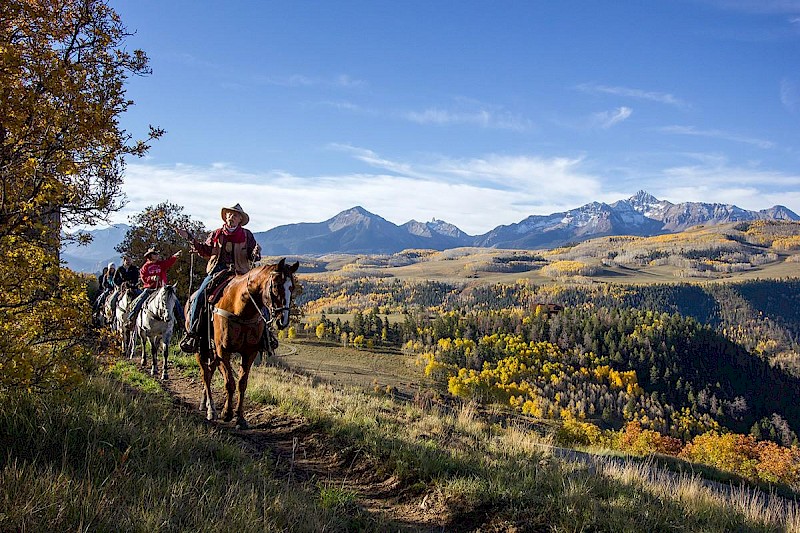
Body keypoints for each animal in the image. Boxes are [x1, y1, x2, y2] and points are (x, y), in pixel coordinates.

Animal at [191, 258, 300, 428]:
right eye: (276, 285)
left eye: (292, 287)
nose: (283, 320)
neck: (242, 309)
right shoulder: (223, 351)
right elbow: (229, 382)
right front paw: (226, 413)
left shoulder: (249, 353)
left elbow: (242, 383)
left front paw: (240, 418)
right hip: (201, 348)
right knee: (205, 374)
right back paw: (211, 409)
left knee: (210, 371)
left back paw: (205, 403)